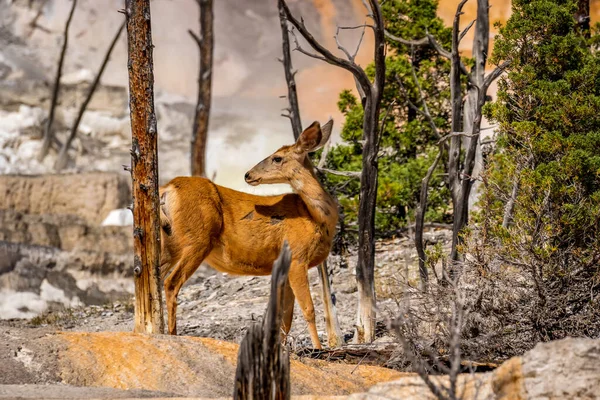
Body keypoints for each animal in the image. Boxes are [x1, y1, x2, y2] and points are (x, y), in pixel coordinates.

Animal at [159, 120, 338, 348]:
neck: (315, 217)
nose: (248, 175)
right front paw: (318, 348)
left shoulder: (287, 265)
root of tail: (167, 189)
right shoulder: (297, 256)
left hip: (170, 243)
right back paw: (172, 335)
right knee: (171, 283)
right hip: (198, 240)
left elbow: (286, 317)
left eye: (277, 158)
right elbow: (308, 310)